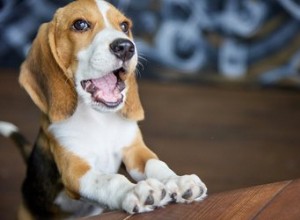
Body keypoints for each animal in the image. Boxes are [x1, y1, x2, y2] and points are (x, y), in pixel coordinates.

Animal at [0, 0, 206, 218]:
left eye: (124, 26)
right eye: (80, 24)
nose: (125, 47)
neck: (99, 119)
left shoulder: (135, 150)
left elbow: (155, 163)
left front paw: (178, 180)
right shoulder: (76, 170)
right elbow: (110, 180)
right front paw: (134, 191)